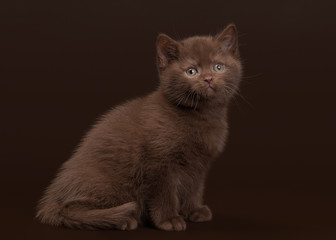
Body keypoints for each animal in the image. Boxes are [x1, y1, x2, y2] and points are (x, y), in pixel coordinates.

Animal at [36, 23, 242, 231]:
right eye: (191, 71)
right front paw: (169, 219)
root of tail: (49, 199)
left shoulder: (199, 165)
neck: (202, 116)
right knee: (68, 209)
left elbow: (194, 188)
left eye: (218, 67)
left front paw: (194, 211)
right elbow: (164, 193)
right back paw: (121, 219)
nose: (208, 79)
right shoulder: (159, 162)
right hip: (110, 184)